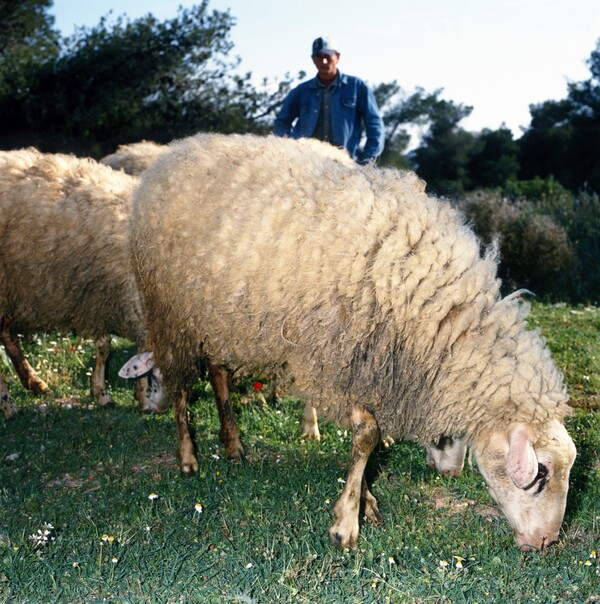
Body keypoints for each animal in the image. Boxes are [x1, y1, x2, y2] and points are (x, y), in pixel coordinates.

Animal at [0, 149, 166, 416]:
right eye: (159, 378)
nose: (160, 410)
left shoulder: (102, 295)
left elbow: (105, 346)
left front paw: (109, 393)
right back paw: (7, 403)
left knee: (7, 333)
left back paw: (34, 382)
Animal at [130, 132, 576, 552]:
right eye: (540, 474)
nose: (546, 542)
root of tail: (177, 150)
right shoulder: (344, 356)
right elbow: (366, 437)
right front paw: (348, 522)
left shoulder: (368, 364)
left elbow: (368, 440)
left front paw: (364, 501)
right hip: (169, 311)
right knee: (180, 384)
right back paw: (189, 457)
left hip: (218, 317)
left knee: (219, 374)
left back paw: (234, 444)